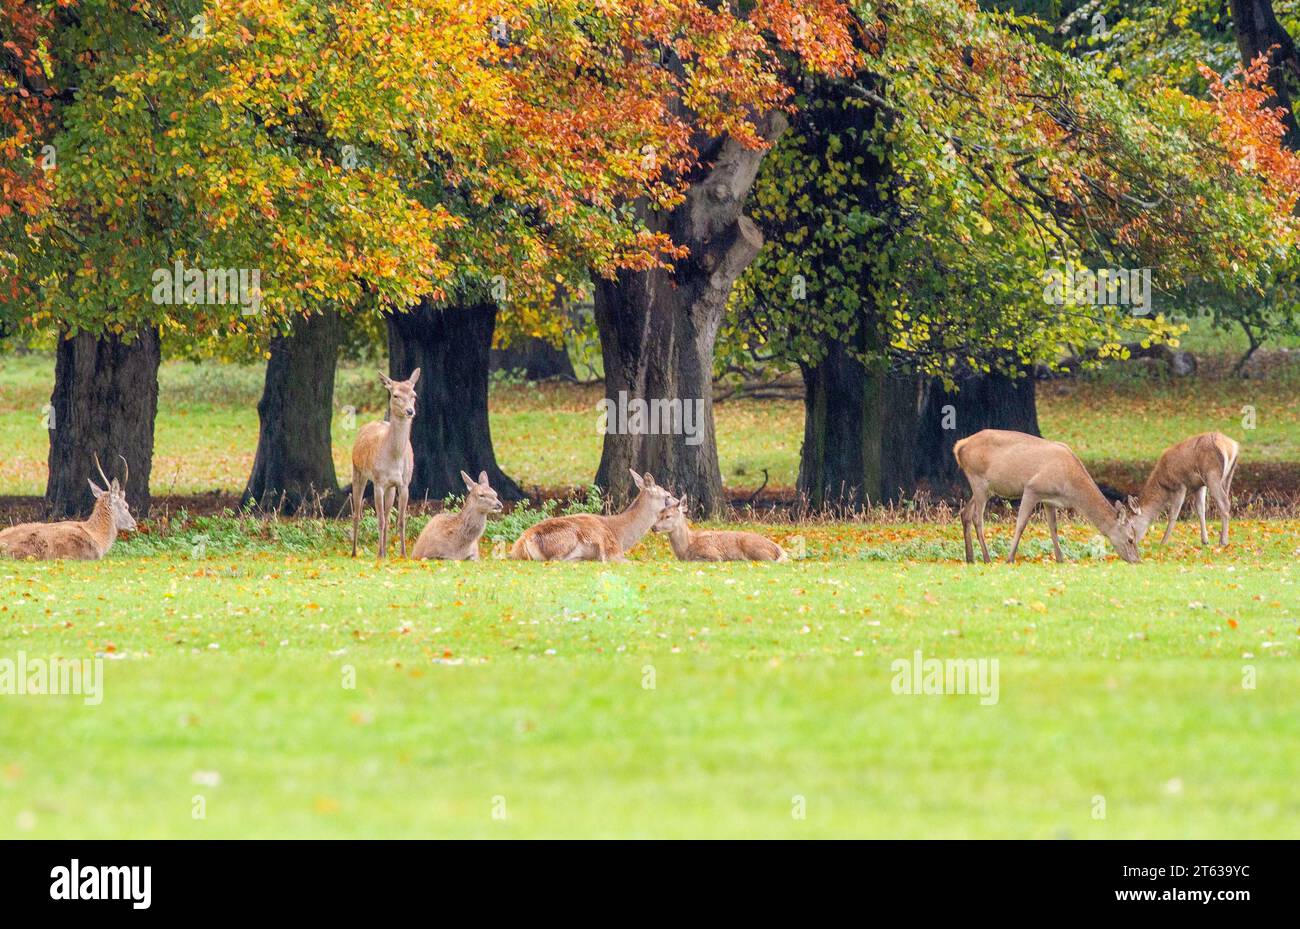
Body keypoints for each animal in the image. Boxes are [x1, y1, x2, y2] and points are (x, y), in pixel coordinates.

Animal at [350, 368, 420, 559]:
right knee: (357, 513)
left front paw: (403, 554)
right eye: (395, 395)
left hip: (391, 488)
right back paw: (354, 552)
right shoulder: (378, 482)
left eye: (414, 395)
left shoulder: (404, 484)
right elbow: (379, 520)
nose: (410, 411)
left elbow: (400, 520)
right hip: (357, 471)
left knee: (388, 516)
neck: (394, 459)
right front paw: (379, 555)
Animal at [510, 469, 676, 561]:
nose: (680, 505)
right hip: (566, 539)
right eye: (667, 495)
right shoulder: (613, 552)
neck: (620, 537)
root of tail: (523, 542)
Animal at [651, 496, 787, 562]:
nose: (653, 527)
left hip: (753, 546)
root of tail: (779, 549)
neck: (685, 549)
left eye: (668, 516)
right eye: (658, 514)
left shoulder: (713, 554)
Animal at [953, 429, 1140, 564]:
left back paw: (970, 558)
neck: (1069, 486)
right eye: (1130, 539)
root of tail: (959, 446)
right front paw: (1010, 559)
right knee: (977, 518)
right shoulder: (1032, 488)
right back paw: (986, 558)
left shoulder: (1049, 499)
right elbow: (1021, 524)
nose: (1137, 560)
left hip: (985, 487)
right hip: (978, 480)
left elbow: (1053, 527)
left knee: (965, 513)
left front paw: (1060, 558)